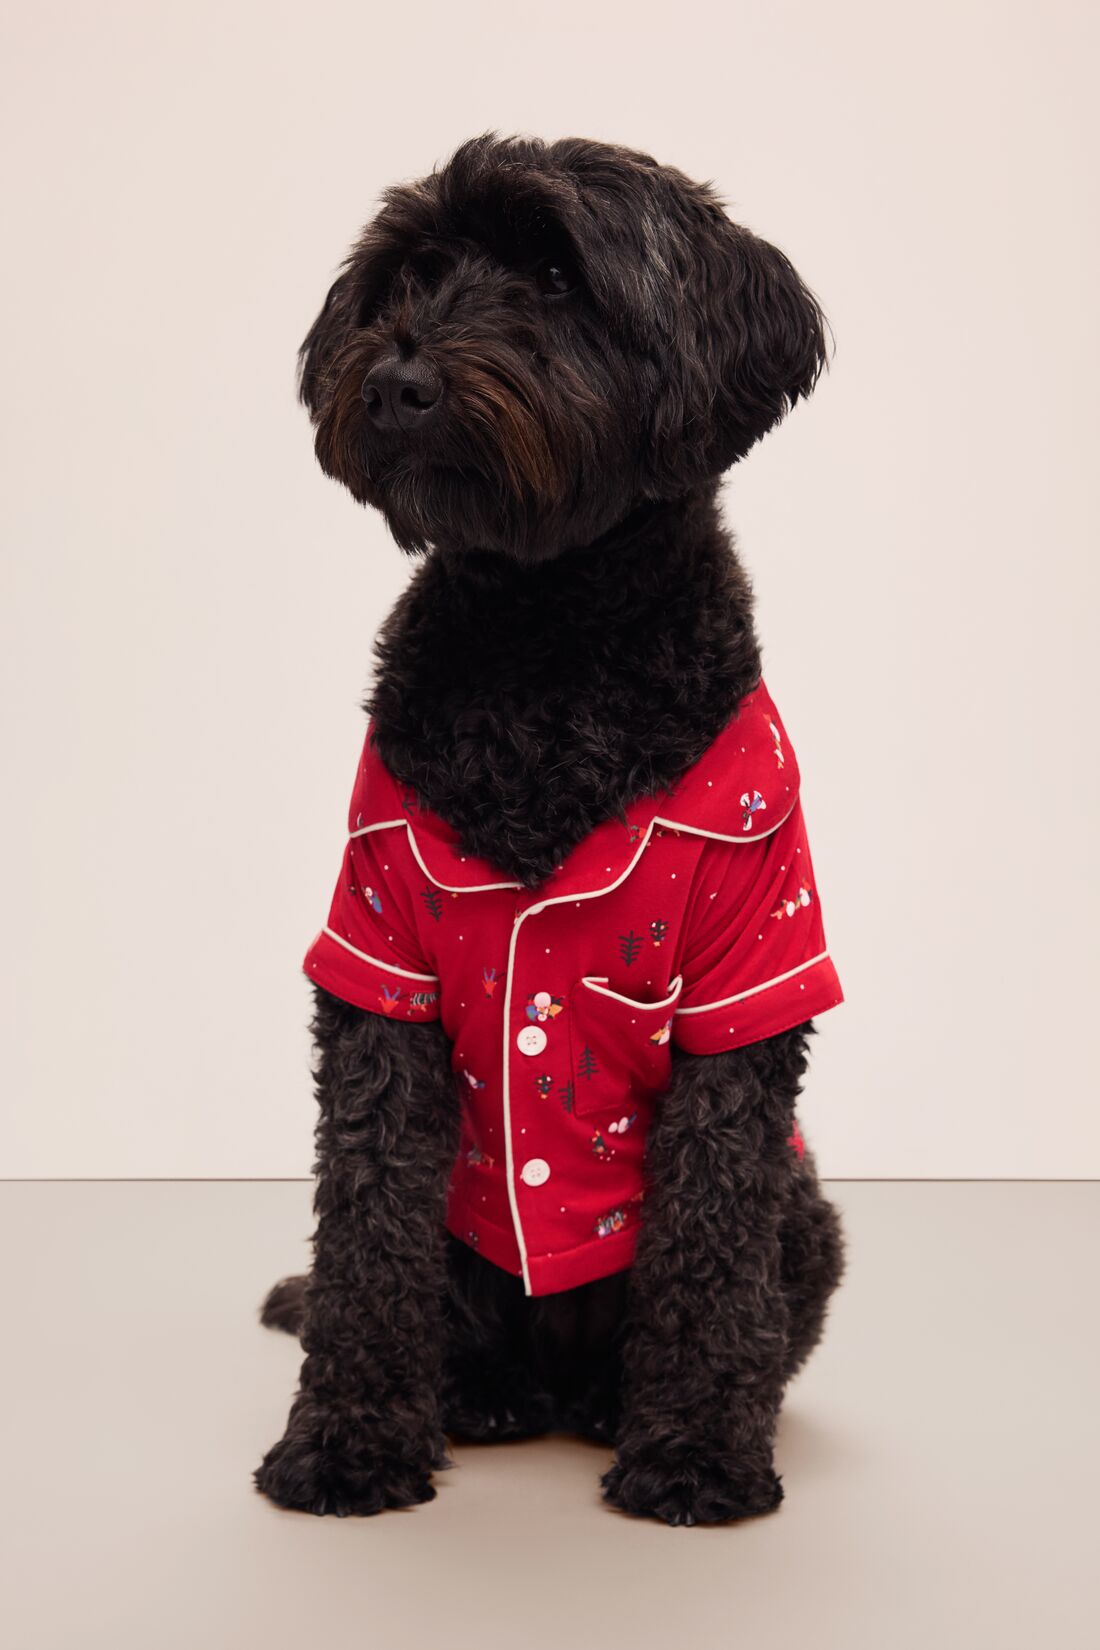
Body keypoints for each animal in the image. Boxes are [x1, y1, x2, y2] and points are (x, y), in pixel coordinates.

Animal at [255, 135, 844, 1524]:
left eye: (561, 279)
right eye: (411, 275)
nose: (400, 378)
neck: (549, 640)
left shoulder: (751, 968)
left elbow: (709, 1238)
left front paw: (696, 1453)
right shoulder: (378, 960)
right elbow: (365, 1225)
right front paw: (346, 1440)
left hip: (809, 1218)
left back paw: (614, 1405)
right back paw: (482, 1391)